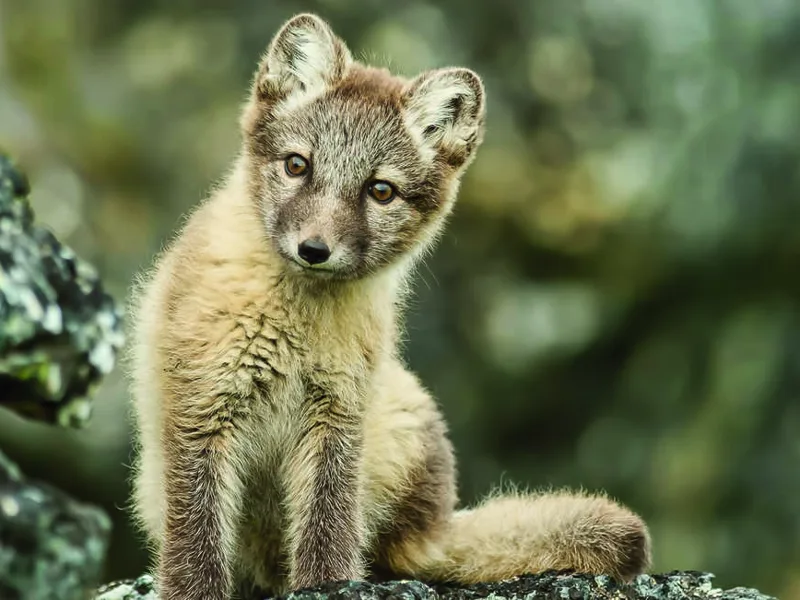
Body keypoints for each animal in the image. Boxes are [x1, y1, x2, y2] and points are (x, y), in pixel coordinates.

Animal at [127, 12, 651, 600]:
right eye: (297, 165)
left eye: (380, 191)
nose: (314, 249)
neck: (293, 331)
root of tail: (435, 528)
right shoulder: (201, 410)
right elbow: (195, 546)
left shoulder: (338, 419)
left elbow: (328, 531)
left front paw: (328, 586)